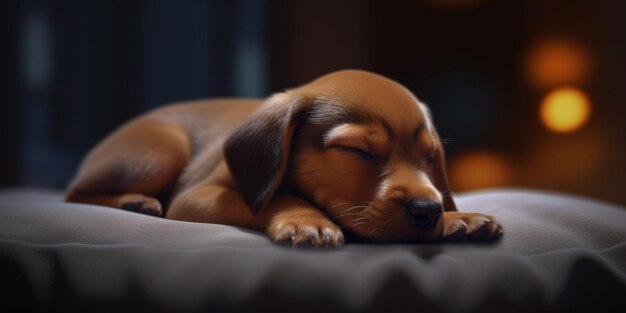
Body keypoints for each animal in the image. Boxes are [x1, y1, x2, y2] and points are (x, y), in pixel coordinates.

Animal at [64, 70, 502, 246]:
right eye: (356, 150)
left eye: (429, 157)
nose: (427, 211)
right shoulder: (196, 196)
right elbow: (279, 196)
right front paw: (308, 221)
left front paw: (458, 217)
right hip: (160, 153)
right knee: (73, 192)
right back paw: (134, 201)